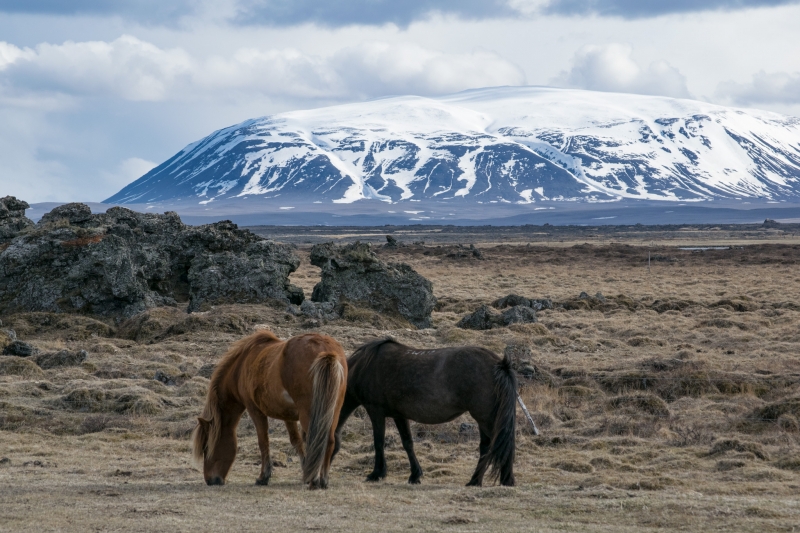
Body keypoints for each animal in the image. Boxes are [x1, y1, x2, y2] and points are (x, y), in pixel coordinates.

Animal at [192, 330, 347, 489]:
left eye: (206, 448)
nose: (210, 480)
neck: (241, 366)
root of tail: (326, 350)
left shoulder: (255, 410)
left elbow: (263, 441)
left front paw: (263, 477)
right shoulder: (287, 415)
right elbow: (296, 441)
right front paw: (305, 472)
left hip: (309, 415)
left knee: (317, 441)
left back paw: (315, 481)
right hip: (333, 412)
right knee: (329, 441)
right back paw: (323, 480)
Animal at [333, 338, 518, 487]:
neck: (363, 367)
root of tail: (499, 364)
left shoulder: (375, 412)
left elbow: (378, 442)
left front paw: (376, 474)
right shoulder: (399, 415)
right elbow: (408, 443)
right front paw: (415, 475)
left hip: (485, 418)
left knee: (498, 444)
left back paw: (499, 480)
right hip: (484, 419)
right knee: (488, 446)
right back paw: (478, 481)